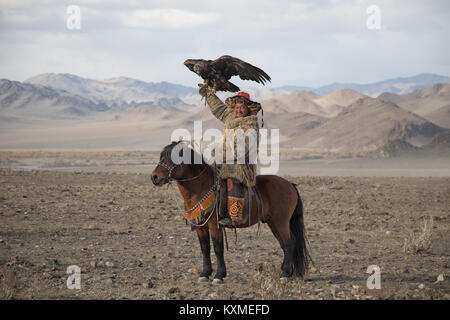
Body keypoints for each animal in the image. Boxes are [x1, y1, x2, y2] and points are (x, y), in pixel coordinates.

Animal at [151, 141, 310, 284]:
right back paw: (286, 271)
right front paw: (205, 274)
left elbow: (218, 248)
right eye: (161, 156)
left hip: (280, 221)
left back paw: (285, 275)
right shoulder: (200, 226)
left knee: (289, 243)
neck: (200, 187)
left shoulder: (215, 225)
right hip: (273, 223)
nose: (154, 177)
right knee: (284, 244)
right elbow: (205, 248)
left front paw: (219, 276)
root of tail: (290, 185)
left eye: (173, 158)